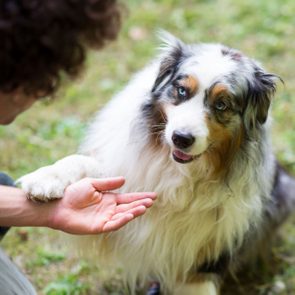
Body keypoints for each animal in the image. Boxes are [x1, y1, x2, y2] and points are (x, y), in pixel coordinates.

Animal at [19, 33, 295, 294]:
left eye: (221, 104)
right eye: (182, 91)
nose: (181, 138)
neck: (178, 170)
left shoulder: (210, 244)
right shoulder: (130, 171)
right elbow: (81, 162)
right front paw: (45, 180)